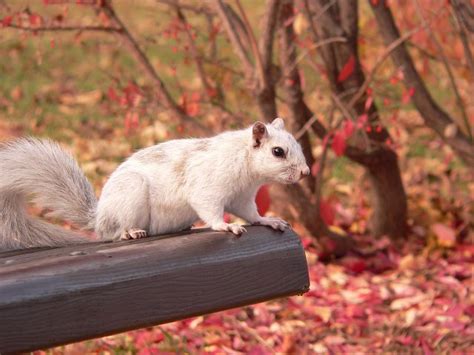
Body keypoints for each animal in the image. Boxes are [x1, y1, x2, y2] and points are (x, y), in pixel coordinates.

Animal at [0, 118, 310, 252]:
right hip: (130, 196)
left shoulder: (242, 196)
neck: (244, 164)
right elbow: (209, 207)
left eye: (296, 144)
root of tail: (99, 218)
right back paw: (130, 232)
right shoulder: (208, 183)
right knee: (115, 232)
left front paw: (268, 221)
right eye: (278, 152)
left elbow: (250, 213)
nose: (306, 172)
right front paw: (225, 226)